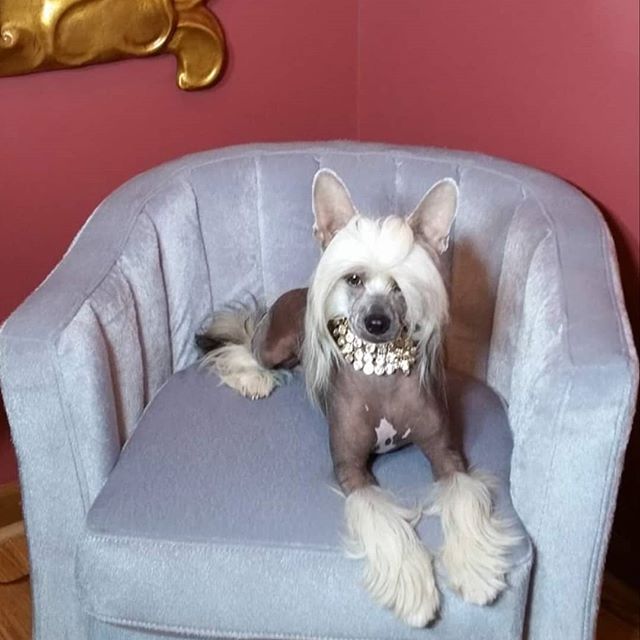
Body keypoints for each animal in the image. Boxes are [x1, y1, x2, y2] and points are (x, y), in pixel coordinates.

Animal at [198, 169, 516, 624]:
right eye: (354, 279)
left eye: (402, 286)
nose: (377, 321)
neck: (380, 375)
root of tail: (299, 290)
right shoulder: (350, 470)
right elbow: (382, 520)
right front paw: (414, 588)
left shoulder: (447, 454)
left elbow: (463, 495)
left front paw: (474, 568)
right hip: (273, 342)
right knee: (245, 344)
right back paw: (251, 377)